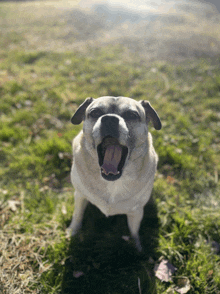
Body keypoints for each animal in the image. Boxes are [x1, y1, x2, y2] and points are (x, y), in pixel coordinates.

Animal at [67, 96, 162, 250]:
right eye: (95, 113)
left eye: (132, 115)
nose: (110, 119)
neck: (113, 181)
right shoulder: (80, 196)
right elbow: (77, 215)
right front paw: (72, 232)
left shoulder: (136, 211)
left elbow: (134, 231)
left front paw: (137, 248)